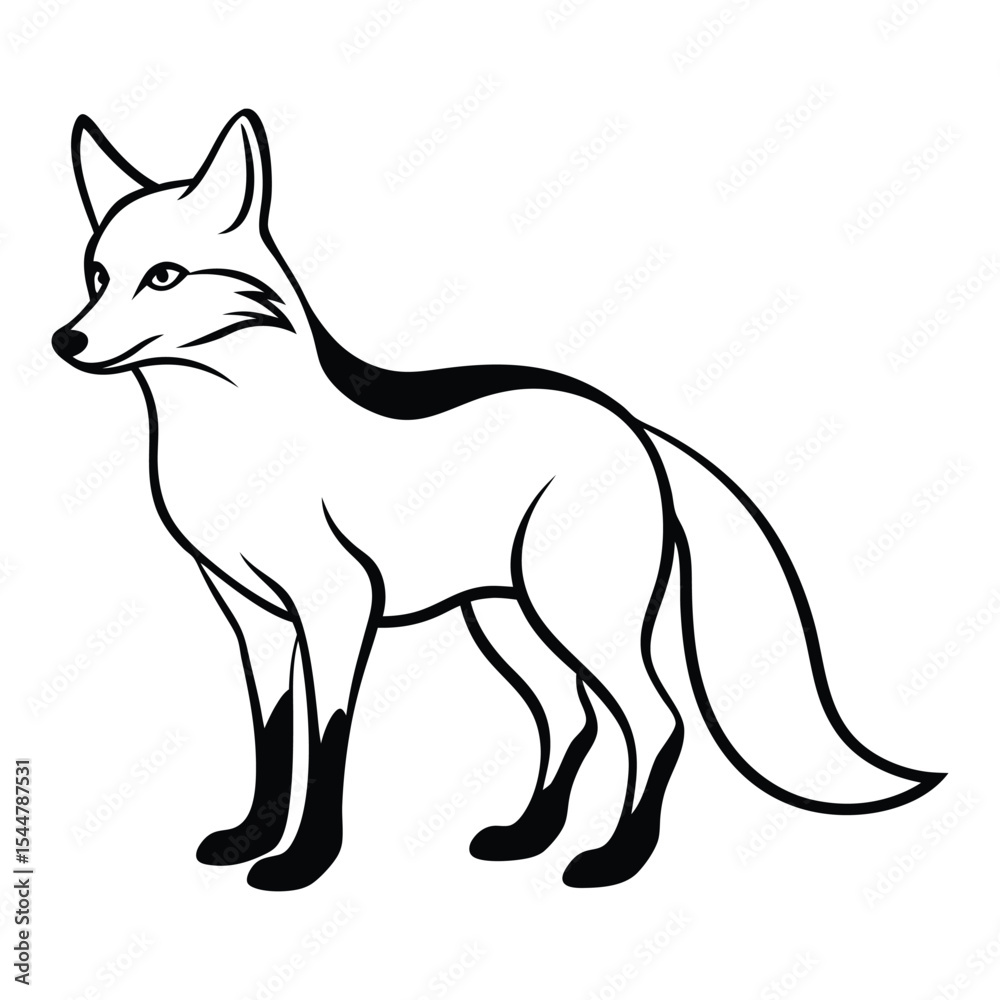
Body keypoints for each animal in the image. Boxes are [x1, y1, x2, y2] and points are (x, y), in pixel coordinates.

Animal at [52, 109, 944, 891]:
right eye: (96, 275)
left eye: (163, 276)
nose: (67, 341)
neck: (242, 440)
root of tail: (628, 419)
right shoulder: (250, 613)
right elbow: (274, 741)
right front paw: (248, 841)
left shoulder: (337, 608)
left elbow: (327, 742)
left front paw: (303, 864)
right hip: (504, 618)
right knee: (572, 718)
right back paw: (527, 837)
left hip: (576, 616)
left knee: (657, 721)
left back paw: (614, 861)